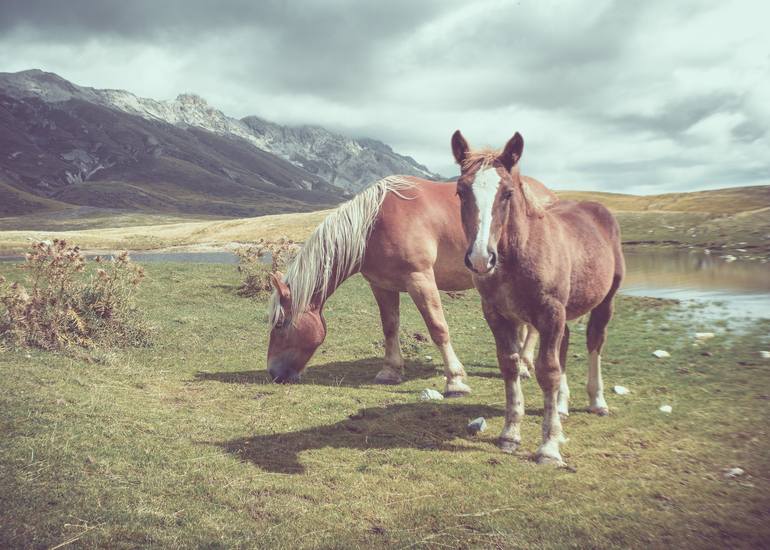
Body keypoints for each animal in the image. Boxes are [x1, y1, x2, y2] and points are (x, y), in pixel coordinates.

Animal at [264, 175, 552, 394]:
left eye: (280, 324)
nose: (273, 373)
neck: (372, 225)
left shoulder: (420, 279)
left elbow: (438, 328)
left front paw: (455, 380)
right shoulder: (382, 286)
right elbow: (390, 327)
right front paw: (390, 371)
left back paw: (523, 365)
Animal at [450, 132, 624, 468]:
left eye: (507, 193)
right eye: (460, 191)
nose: (480, 259)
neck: (517, 256)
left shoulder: (550, 312)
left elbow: (547, 371)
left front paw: (549, 447)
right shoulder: (497, 314)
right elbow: (510, 365)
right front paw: (510, 434)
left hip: (604, 301)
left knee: (595, 341)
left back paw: (597, 401)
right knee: (565, 344)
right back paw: (562, 406)